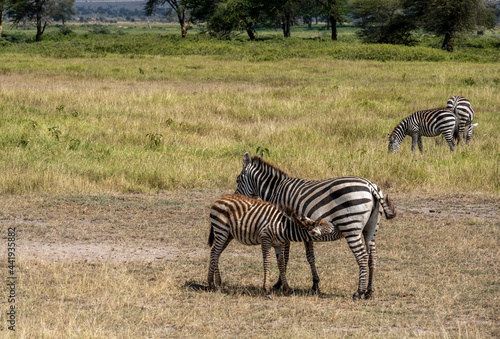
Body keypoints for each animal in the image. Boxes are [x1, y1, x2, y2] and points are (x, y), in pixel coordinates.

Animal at [206, 194, 340, 298]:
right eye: (329, 231)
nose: (340, 229)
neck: (284, 228)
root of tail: (220, 198)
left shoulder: (278, 245)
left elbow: (281, 264)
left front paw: (286, 288)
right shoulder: (265, 239)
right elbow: (267, 262)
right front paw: (267, 289)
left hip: (228, 235)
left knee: (214, 253)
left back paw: (211, 283)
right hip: (221, 230)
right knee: (215, 253)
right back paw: (217, 284)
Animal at [232, 154, 396, 300]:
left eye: (238, 179)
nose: (236, 198)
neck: (276, 190)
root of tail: (370, 186)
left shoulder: (283, 226)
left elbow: (285, 257)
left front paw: (279, 283)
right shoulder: (304, 229)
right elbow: (310, 256)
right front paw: (315, 284)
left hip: (350, 226)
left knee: (362, 256)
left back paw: (358, 292)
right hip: (371, 228)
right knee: (372, 257)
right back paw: (369, 292)